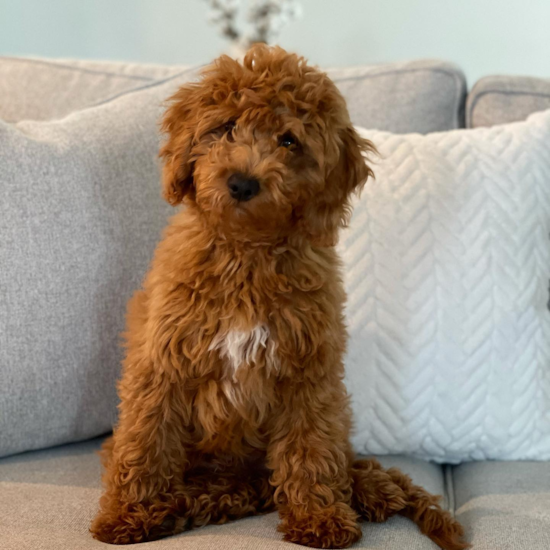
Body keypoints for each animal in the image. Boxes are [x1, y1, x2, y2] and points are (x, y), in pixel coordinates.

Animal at [90, 45, 470, 548]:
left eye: (289, 142)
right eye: (225, 127)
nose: (241, 182)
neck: (247, 252)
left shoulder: (310, 373)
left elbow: (311, 447)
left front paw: (319, 517)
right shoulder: (162, 364)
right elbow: (147, 440)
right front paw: (130, 514)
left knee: (335, 461)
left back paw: (368, 491)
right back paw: (185, 504)